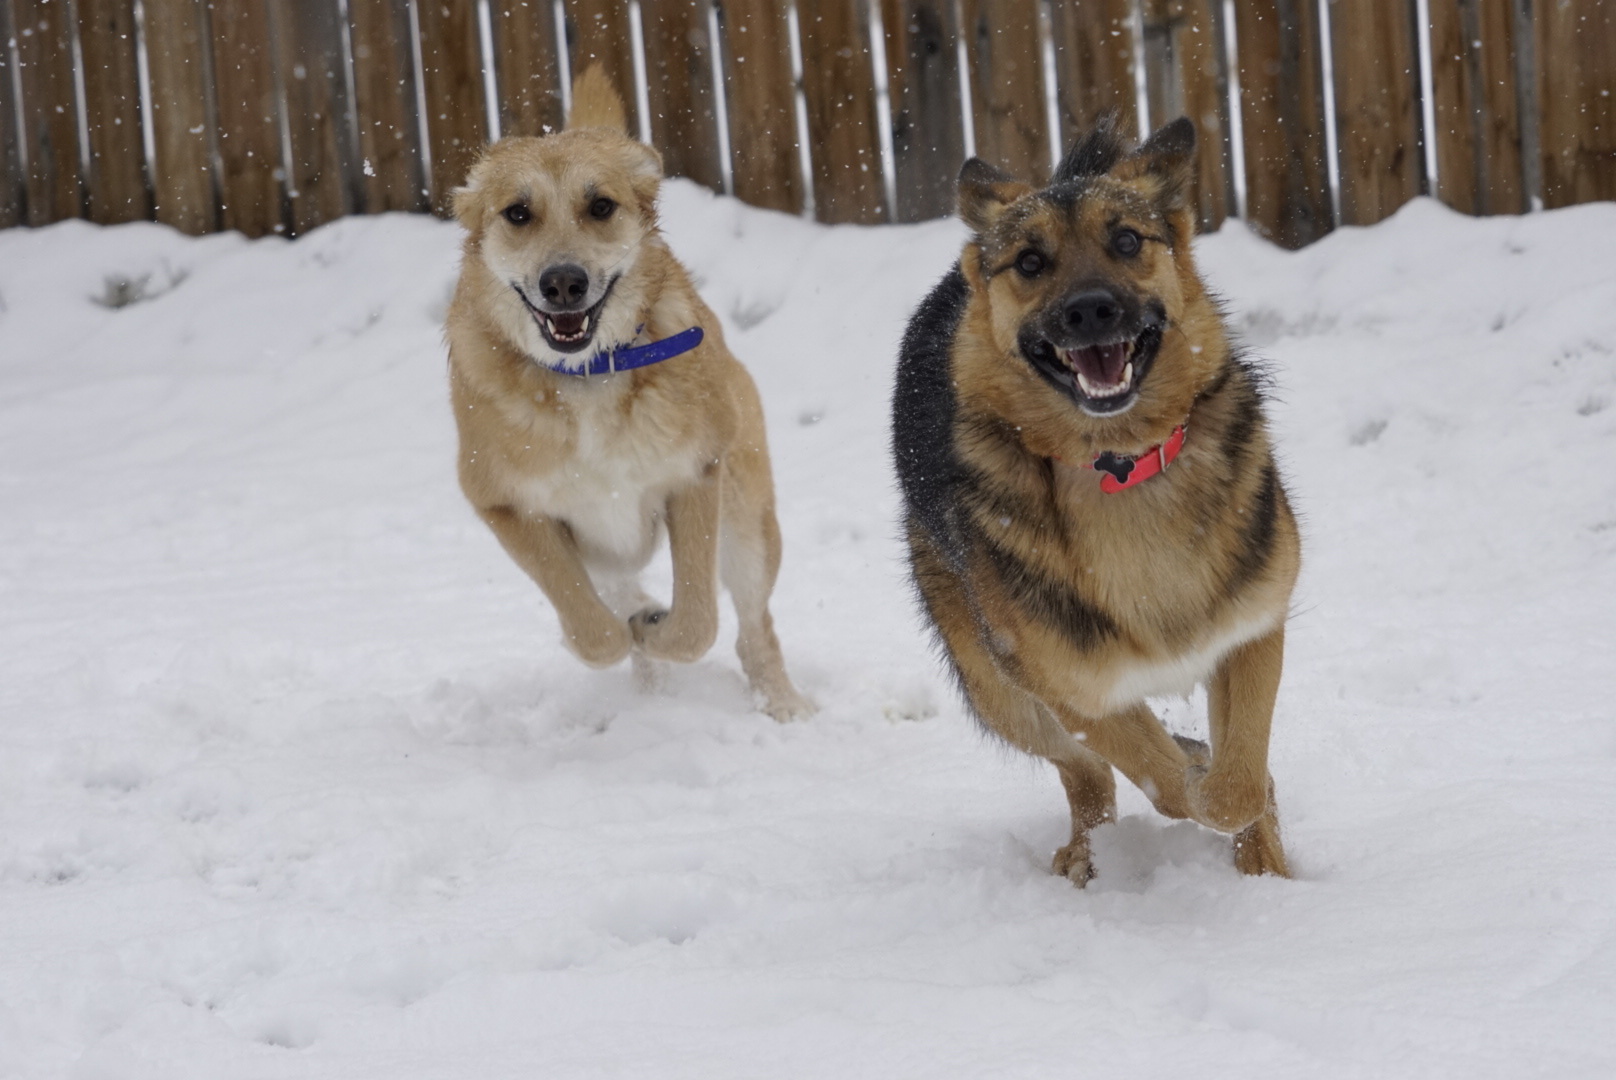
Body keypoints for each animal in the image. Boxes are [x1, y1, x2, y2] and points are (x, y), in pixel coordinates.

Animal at [442, 71, 814, 721]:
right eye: (518, 213)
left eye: (600, 206)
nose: (564, 282)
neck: (586, 376)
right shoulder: (506, 505)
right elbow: (591, 629)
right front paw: (625, 631)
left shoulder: (696, 472)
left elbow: (697, 624)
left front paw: (658, 628)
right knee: (615, 594)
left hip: (747, 518)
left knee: (752, 626)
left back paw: (781, 702)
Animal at [898, 118, 1299, 879]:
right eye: (1030, 262)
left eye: (1127, 241)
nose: (1090, 309)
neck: (1121, 464)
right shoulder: (1072, 689)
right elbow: (1168, 783)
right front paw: (1193, 778)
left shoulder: (1253, 628)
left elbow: (1240, 780)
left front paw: (1262, 862)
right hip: (1001, 692)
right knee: (1083, 777)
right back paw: (1086, 857)